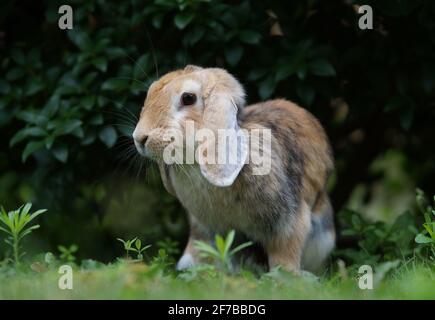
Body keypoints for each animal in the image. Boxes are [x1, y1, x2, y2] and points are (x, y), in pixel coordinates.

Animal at [135, 65, 336, 276]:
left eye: (188, 98)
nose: (139, 138)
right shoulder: (203, 227)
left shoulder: (288, 224)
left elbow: (284, 254)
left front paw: (286, 276)